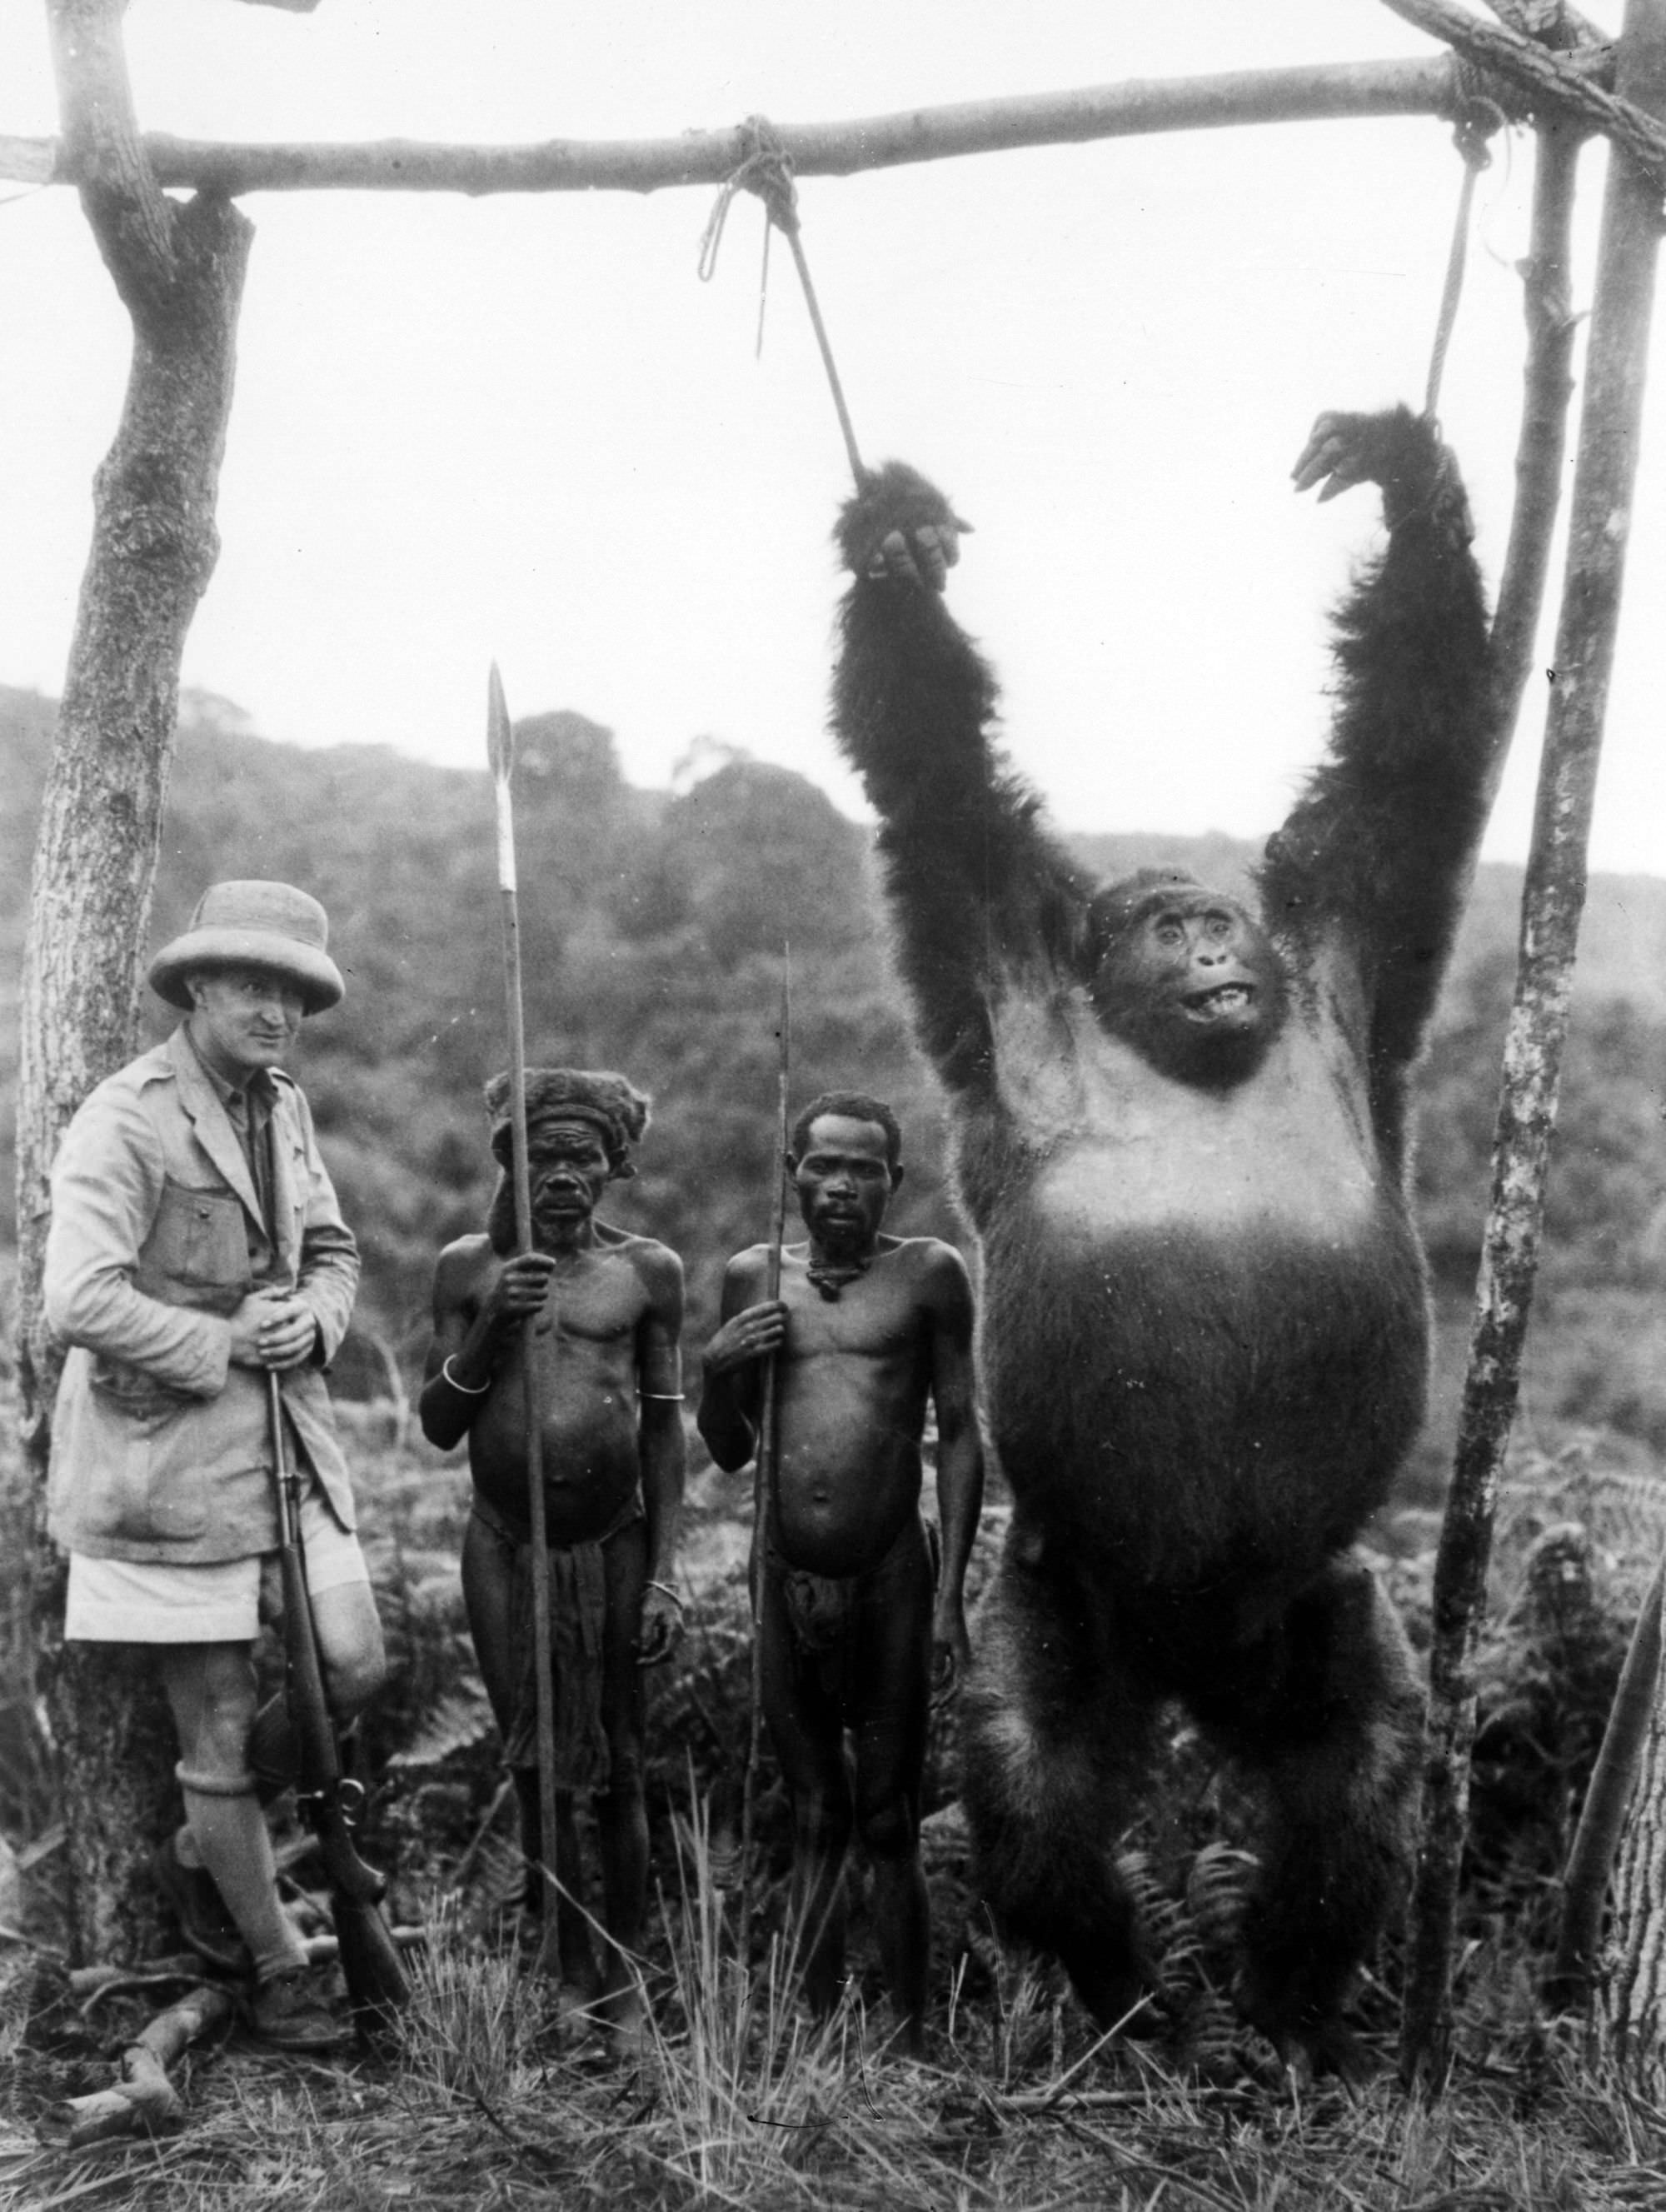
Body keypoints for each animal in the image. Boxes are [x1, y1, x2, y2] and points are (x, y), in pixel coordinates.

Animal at [831, 402, 1495, 2070]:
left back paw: (1288, 2004)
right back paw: (1131, 1998)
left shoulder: (1345, 945)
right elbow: (931, 772)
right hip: (1069, 1599)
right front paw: (898, 549)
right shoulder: (999, 954)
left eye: (1219, 920)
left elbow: (1412, 757)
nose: (1206, 946)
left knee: (1353, 1775)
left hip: (1310, 1608)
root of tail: (1200, 1663)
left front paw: (1407, 478)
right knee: (1035, 1783)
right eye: (1159, 926)